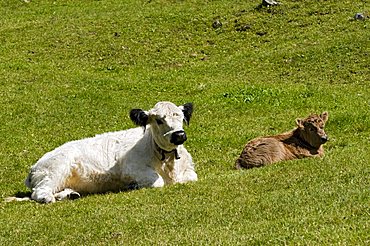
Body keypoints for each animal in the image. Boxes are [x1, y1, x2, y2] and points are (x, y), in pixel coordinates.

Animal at [19, 101, 197, 203]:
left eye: (180, 117)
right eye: (159, 120)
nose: (179, 135)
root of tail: (34, 167)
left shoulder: (189, 171)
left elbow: (191, 178)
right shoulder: (131, 169)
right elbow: (158, 181)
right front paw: (133, 185)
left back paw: (70, 195)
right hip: (55, 169)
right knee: (39, 192)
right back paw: (47, 198)